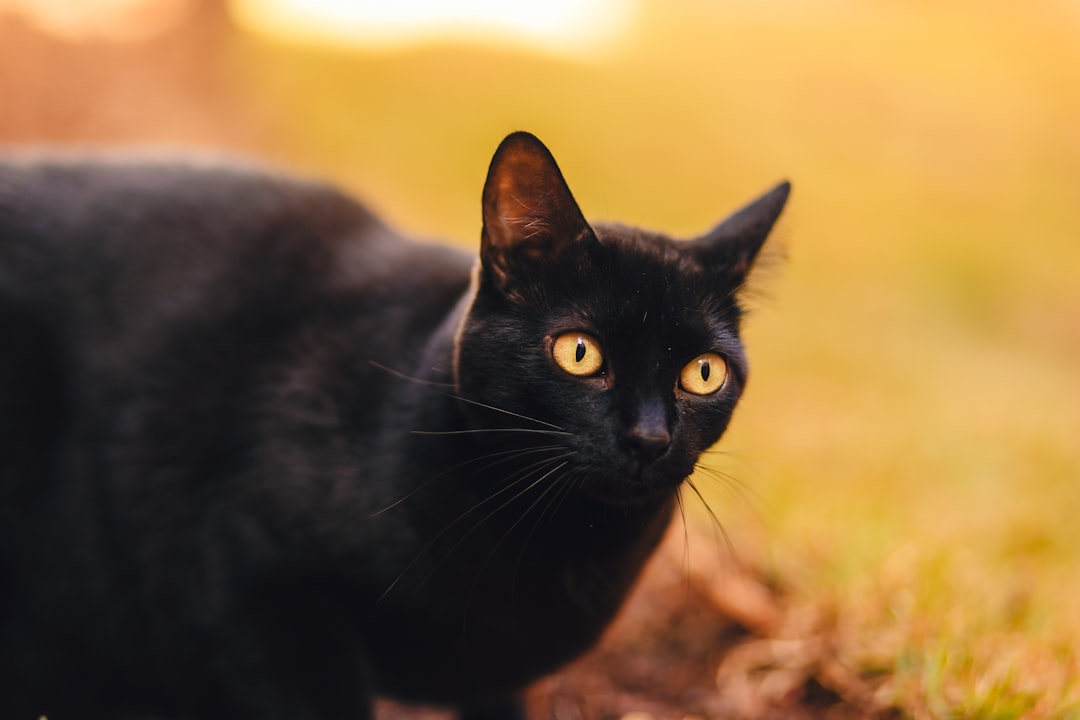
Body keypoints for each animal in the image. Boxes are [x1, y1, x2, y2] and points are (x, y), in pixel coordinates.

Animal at [2, 132, 794, 716]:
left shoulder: (499, 682)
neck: (563, 546)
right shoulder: (257, 584)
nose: (650, 437)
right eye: (579, 352)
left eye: (703, 373)